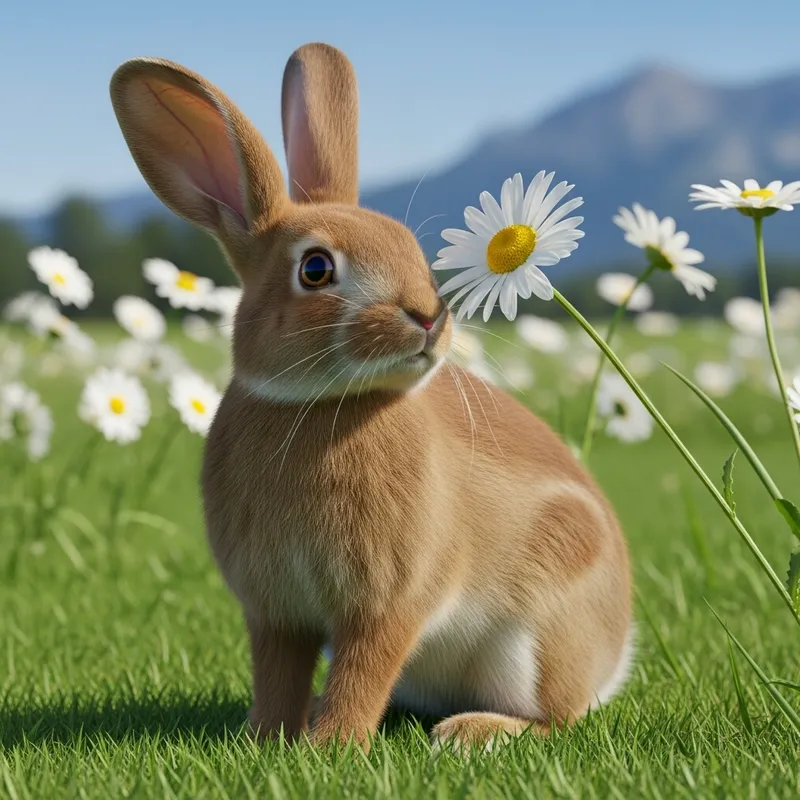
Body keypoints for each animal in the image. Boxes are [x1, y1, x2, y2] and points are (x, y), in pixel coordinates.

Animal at [109, 41, 633, 753]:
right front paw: (266, 738)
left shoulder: (389, 601)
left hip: (538, 635)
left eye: (414, 250)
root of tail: (617, 654)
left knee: (560, 715)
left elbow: (364, 667)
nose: (430, 316)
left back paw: (471, 731)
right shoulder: (276, 611)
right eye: (316, 269)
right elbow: (279, 673)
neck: (322, 403)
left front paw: (330, 745)